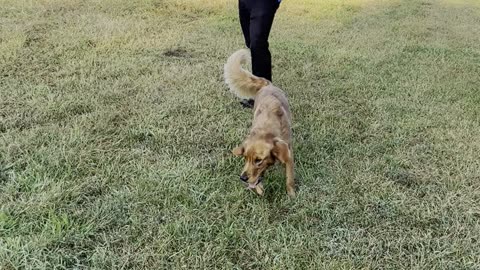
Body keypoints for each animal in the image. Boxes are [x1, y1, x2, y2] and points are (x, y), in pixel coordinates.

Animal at [225, 49, 296, 196]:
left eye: (259, 160)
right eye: (245, 157)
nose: (243, 178)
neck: (266, 129)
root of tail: (267, 84)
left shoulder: (288, 151)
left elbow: (289, 176)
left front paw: (291, 193)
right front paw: (259, 188)